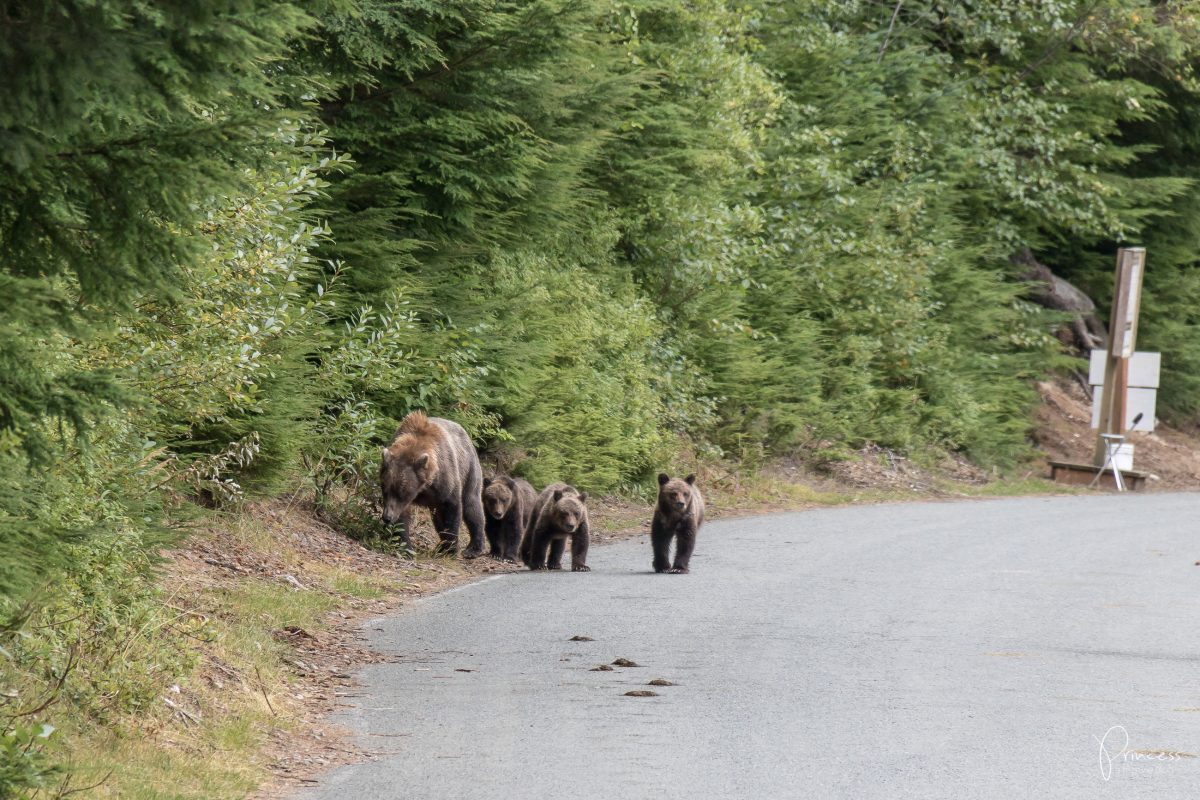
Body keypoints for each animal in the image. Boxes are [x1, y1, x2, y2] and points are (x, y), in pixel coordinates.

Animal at [379, 410, 482, 561]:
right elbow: (403, 516)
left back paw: (473, 549)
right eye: (385, 489)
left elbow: (452, 508)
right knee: (438, 518)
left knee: (472, 504)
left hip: (469, 467)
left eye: (402, 492)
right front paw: (406, 549)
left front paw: (451, 549)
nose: (387, 517)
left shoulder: (445, 480)